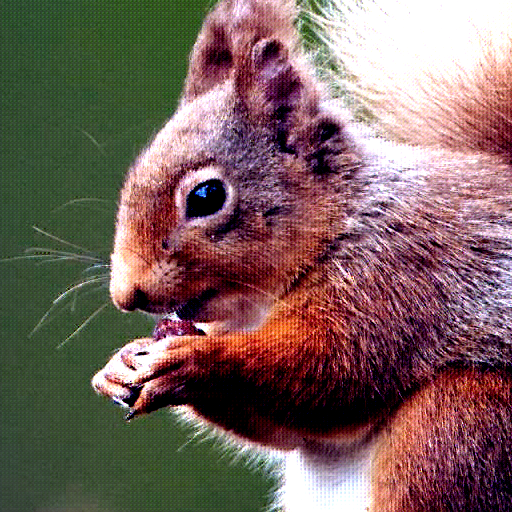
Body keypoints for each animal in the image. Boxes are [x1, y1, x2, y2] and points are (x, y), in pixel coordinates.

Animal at [91, 0, 512, 510]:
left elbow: (336, 368)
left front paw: (193, 360)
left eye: (207, 196)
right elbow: (287, 427)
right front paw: (116, 368)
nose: (125, 294)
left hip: (458, 422)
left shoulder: (397, 276)